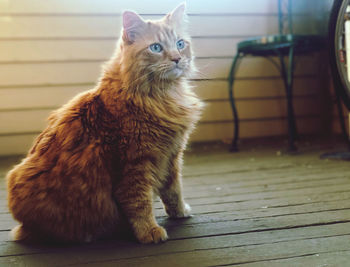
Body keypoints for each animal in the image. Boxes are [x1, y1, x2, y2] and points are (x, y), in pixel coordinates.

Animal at [6, 2, 202, 245]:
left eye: (180, 44)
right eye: (156, 48)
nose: (177, 58)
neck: (162, 95)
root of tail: (23, 225)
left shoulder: (172, 156)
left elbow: (174, 191)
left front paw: (180, 212)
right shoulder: (135, 163)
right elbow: (140, 203)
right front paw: (149, 231)